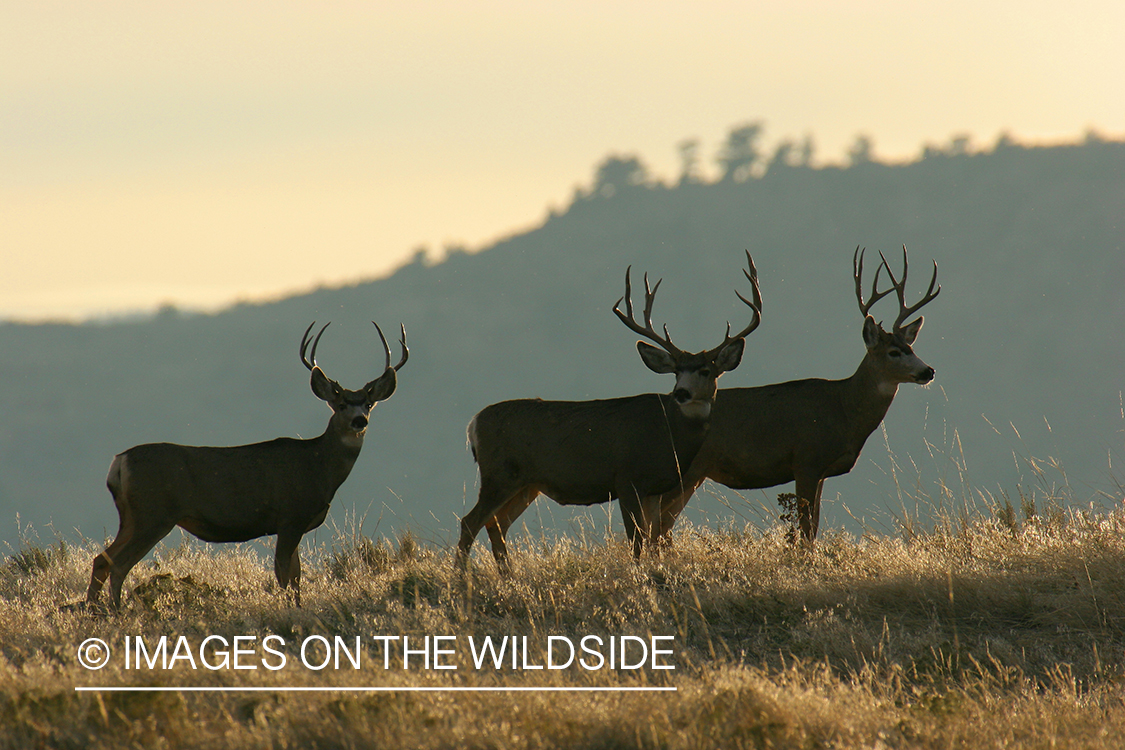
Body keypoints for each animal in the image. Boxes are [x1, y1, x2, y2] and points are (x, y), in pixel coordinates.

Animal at [85, 320, 408, 609]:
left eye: (368, 404)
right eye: (340, 405)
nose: (359, 421)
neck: (318, 468)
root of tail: (120, 462)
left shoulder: (292, 525)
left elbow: (296, 578)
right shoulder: (291, 517)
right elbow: (284, 576)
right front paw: (289, 610)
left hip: (131, 515)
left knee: (101, 559)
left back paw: (93, 610)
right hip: (154, 514)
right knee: (118, 564)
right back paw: (117, 611)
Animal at [457, 253, 763, 571]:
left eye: (705, 370)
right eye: (677, 371)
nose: (681, 393)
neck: (668, 435)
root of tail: (473, 424)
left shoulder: (653, 489)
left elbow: (652, 538)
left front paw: (654, 570)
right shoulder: (626, 478)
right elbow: (636, 541)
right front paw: (639, 574)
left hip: (526, 484)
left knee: (496, 524)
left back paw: (508, 576)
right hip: (499, 473)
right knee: (470, 522)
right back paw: (463, 577)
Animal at [654, 245, 940, 544]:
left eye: (910, 347)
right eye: (894, 352)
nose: (928, 371)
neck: (844, 409)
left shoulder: (822, 471)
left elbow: (813, 527)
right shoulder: (806, 460)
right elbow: (805, 530)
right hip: (684, 470)